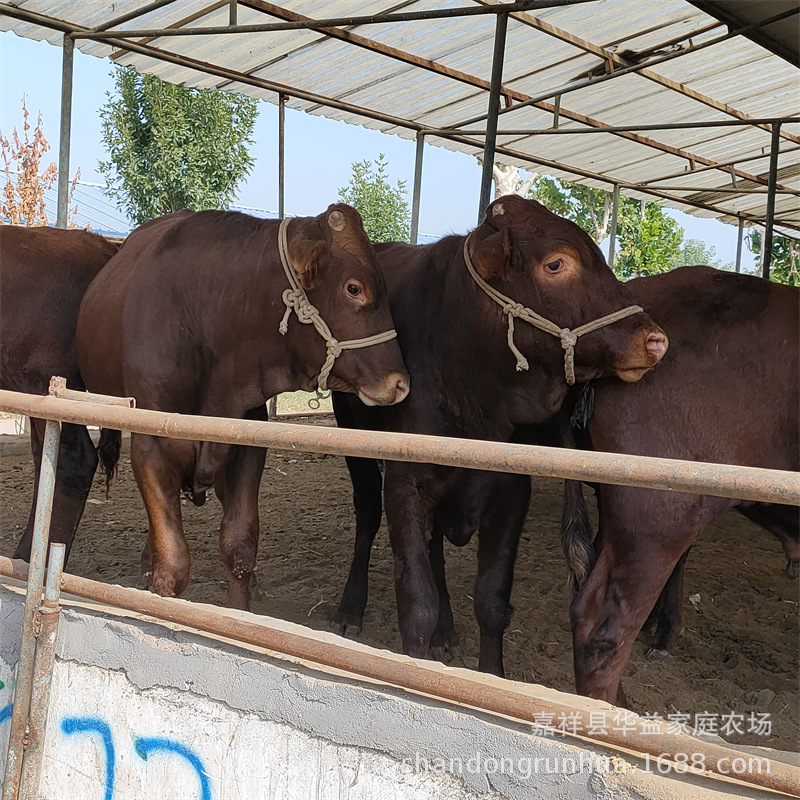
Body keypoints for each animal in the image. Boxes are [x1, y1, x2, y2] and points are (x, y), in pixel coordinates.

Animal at [78, 205, 410, 608]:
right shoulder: (150, 447)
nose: (400, 383)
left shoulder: (246, 446)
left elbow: (238, 548)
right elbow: (172, 560)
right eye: (353, 288)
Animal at [332, 195, 668, 676]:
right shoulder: (405, 482)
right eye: (556, 263)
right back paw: (349, 609)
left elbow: (491, 601)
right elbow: (416, 602)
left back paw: (447, 635)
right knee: (367, 514)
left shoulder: (510, 489)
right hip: (353, 437)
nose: (655, 340)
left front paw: (490, 673)